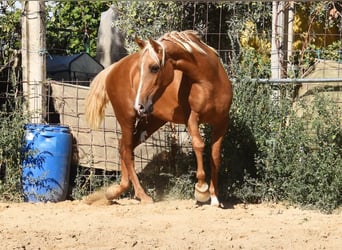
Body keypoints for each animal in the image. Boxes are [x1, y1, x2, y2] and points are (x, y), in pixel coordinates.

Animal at [85, 30, 232, 206]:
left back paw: (116, 191)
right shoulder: (191, 119)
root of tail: (114, 68)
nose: (139, 105)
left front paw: (215, 197)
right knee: (126, 150)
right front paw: (201, 191)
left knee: (124, 147)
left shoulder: (221, 122)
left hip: (151, 122)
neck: (208, 81)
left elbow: (215, 156)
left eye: (154, 68)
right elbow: (199, 145)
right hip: (127, 119)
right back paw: (142, 195)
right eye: (140, 69)